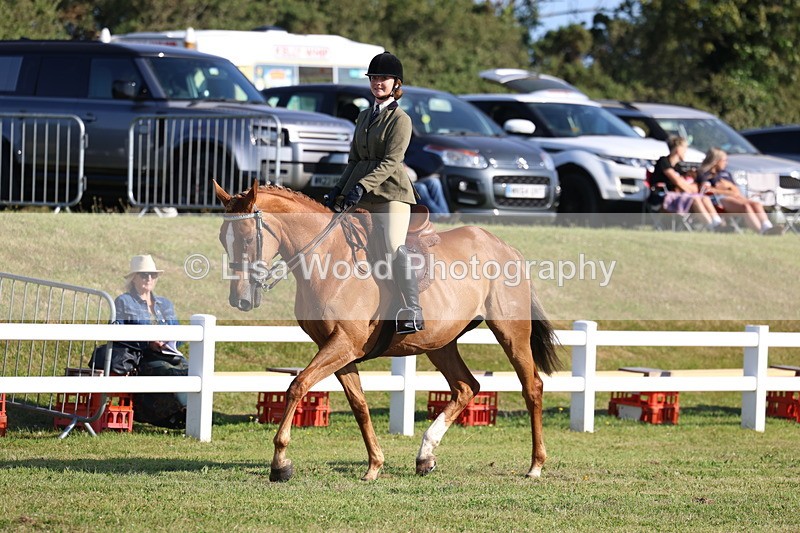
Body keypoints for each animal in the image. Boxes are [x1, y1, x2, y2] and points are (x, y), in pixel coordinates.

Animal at [213, 180, 560, 482]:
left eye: (247, 238)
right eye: (222, 239)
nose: (240, 300)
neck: (328, 258)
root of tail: (506, 248)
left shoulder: (343, 344)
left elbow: (298, 385)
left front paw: (280, 463)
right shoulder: (340, 348)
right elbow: (359, 405)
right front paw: (374, 465)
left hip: (510, 333)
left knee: (532, 387)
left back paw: (535, 465)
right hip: (440, 343)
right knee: (466, 387)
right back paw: (425, 456)